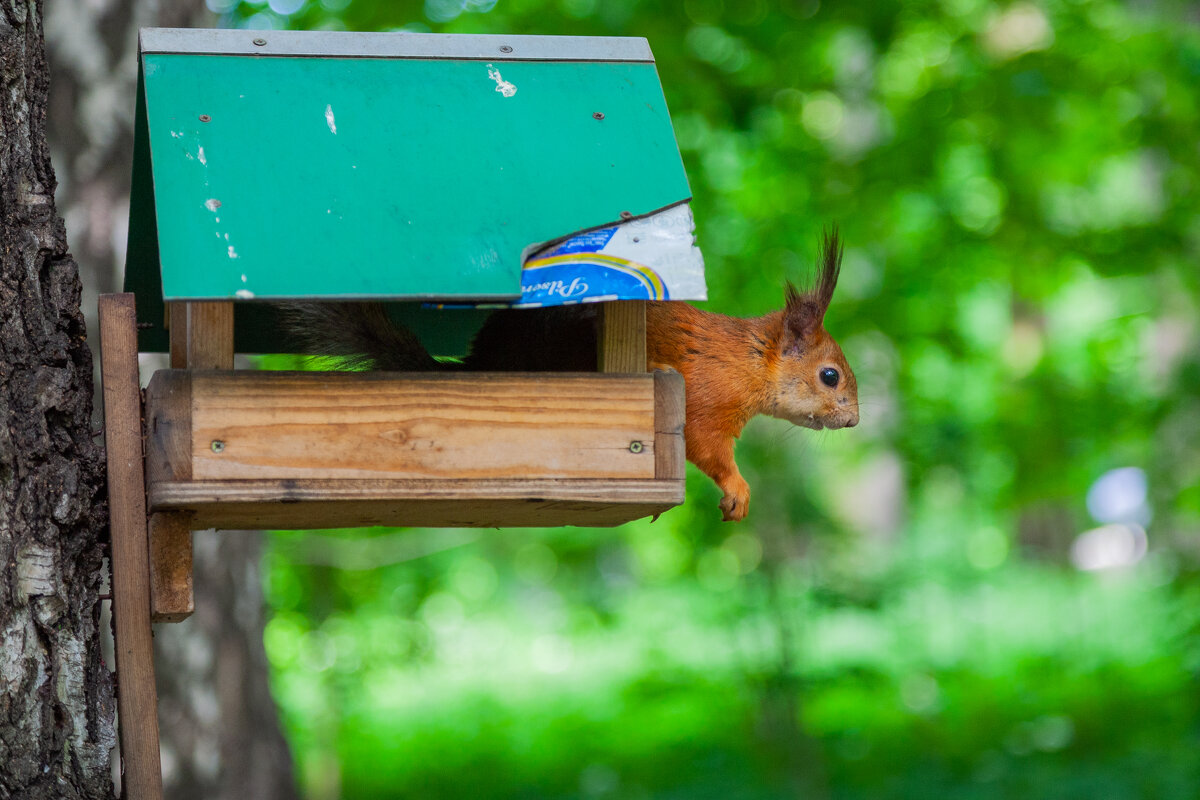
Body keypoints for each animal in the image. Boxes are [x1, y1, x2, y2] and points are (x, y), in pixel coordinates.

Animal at [285, 227, 859, 522]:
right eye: (830, 376)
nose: (853, 422)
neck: (749, 359)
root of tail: (486, 364)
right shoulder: (707, 400)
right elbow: (707, 447)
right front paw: (738, 489)